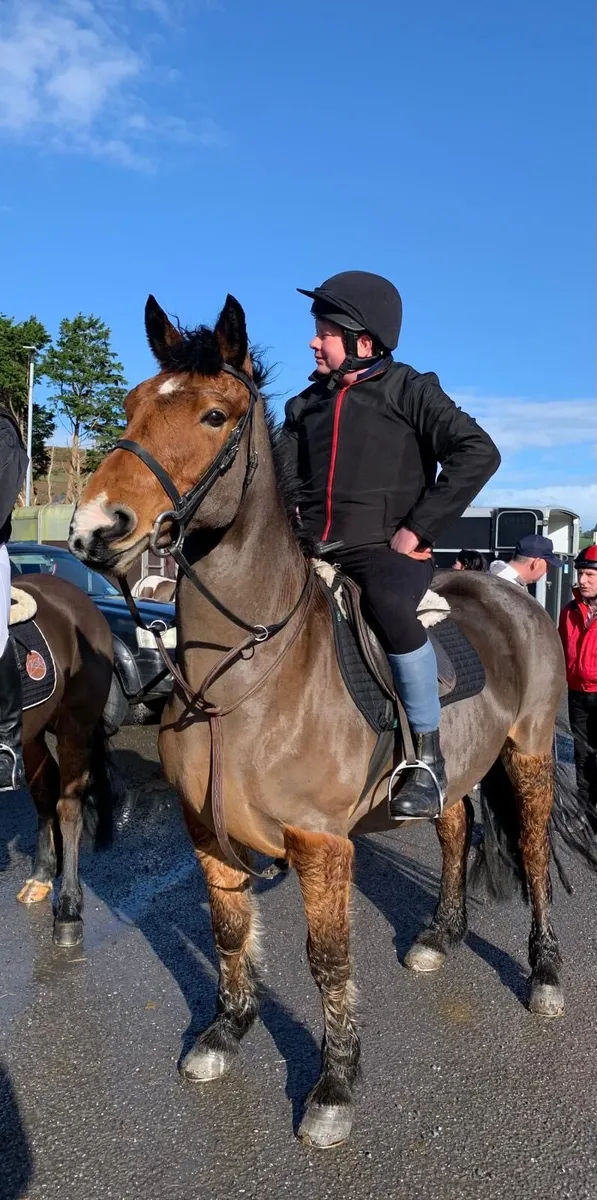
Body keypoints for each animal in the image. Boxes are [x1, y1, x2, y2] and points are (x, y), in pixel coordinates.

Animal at [8, 574, 115, 946]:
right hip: (33, 734)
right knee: (44, 794)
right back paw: (41, 876)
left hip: (74, 727)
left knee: (68, 809)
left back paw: (69, 908)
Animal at [68, 292, 582, 1148]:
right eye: (134, 404)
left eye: (214, 414)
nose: (94, 528)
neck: (249, 672)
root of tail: (508, 589)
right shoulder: (204, 827)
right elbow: (229, 931)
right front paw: (225, 1031)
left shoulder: (318, 843)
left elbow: (327, 960)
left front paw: (335, 1085)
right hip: (456, 771)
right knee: (452, 831)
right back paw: (440, 934)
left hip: (531, 753)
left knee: (535, 856)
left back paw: (543, 971)